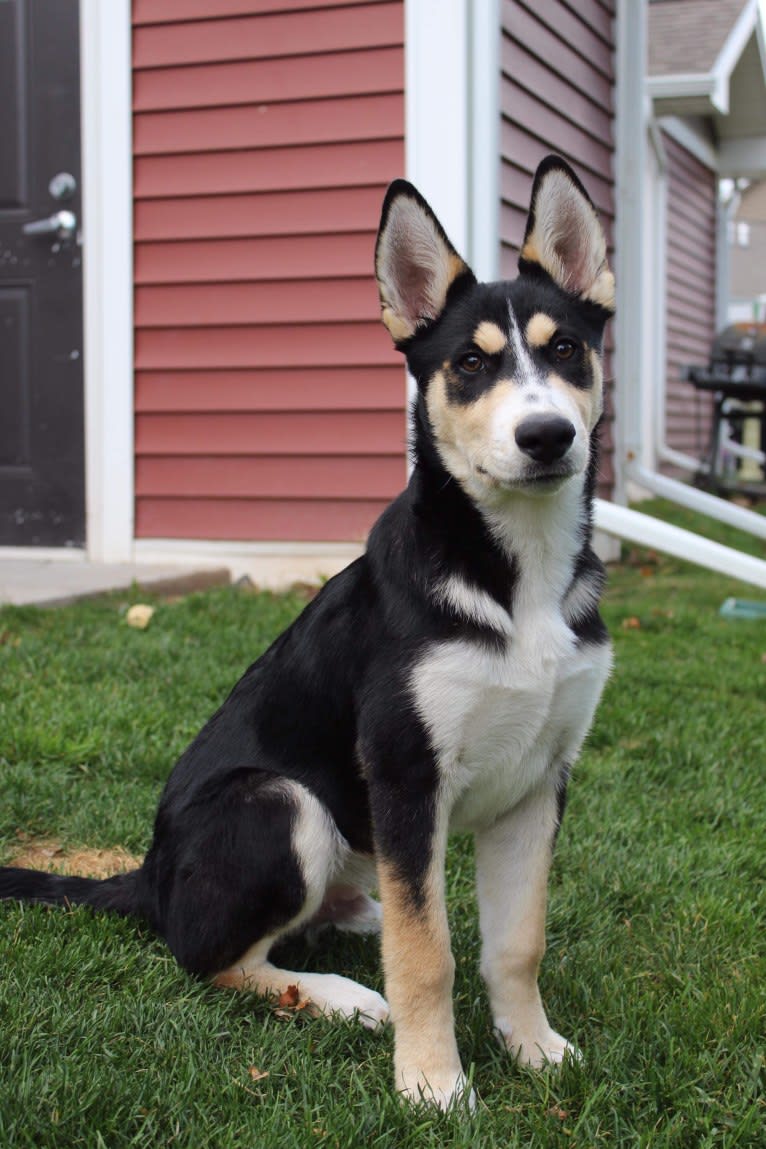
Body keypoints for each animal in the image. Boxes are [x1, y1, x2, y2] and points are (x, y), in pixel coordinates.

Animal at [0, 157, 615, 1107]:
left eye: (566, 350)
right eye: (470, 363)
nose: (546, 436)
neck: (516, 573)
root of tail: (148, 877)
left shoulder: (539, 778)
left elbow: (514, 940)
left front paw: (534, 1046)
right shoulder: (404, 771)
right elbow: (429, 955)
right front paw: (434, 1083)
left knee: (371, 910)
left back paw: (356, 926)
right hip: (281, 801)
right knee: (207, 955)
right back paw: (334, 996)